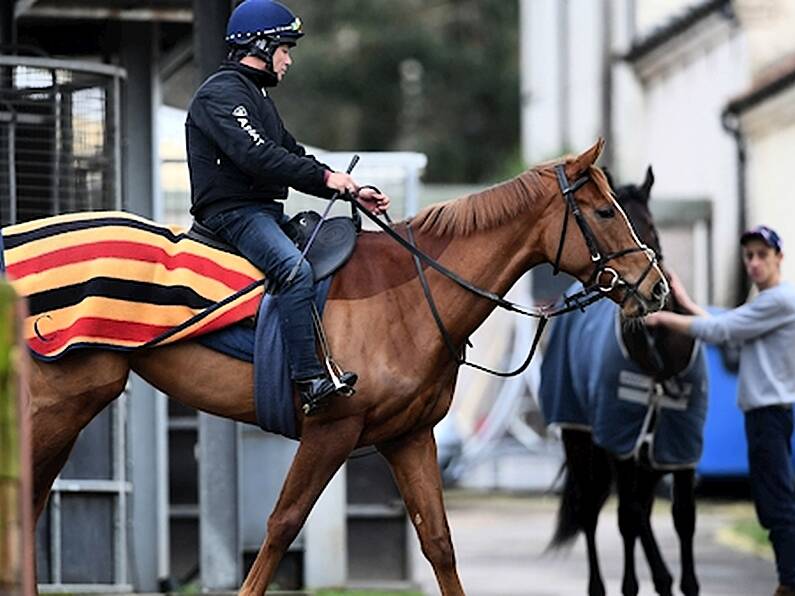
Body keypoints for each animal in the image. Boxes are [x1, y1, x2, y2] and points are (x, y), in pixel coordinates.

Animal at [20, 140, 664, 592]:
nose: (655, 288)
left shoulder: (409, 436)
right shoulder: (332, 429)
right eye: (605, 211)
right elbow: (281, 525)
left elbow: (439, 542)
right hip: (59, 407)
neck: (413, 292)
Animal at [540, 168, 708, 596]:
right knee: (592, 509)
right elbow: (627, 518)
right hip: (583, 439)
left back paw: (662, 579)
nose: (649, 291)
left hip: (647, 457)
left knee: (642, 509)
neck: (657, 358)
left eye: (650, 226)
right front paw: (633, 584)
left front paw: (685, 583)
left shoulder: (679, 444)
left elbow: (684, 516)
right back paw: (602, 585)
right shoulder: (621, 437)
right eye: (609, 217)